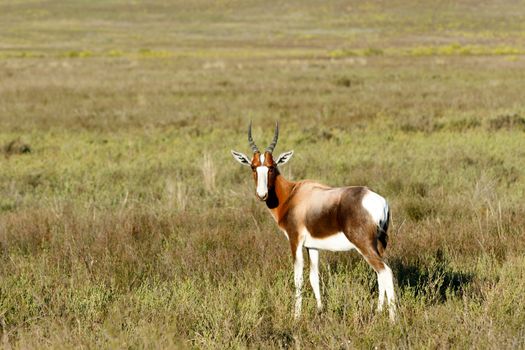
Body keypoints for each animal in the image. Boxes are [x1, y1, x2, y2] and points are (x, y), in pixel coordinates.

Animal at [231, 122, 396, 320]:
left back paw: (393, 319)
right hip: (378, 245)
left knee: (385, 271)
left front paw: (296, 316)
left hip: (363, 244)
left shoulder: (295, 241)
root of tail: (380, 201)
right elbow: (314, 277)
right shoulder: (312, 246)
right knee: (381, 273)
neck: (293, 194)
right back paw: (379, 311)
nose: (262, 194)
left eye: (271, 167)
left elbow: (298, 278)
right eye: (253, 167)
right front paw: (319, 310)